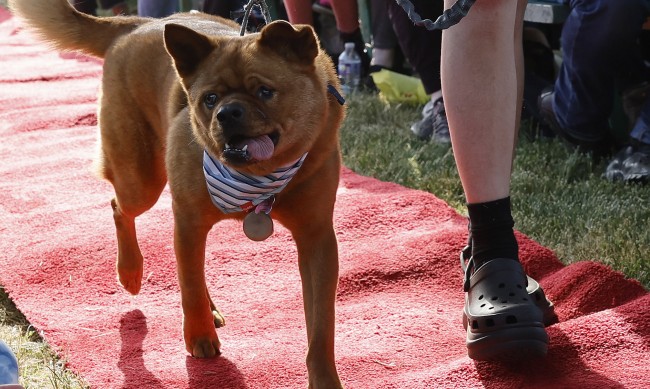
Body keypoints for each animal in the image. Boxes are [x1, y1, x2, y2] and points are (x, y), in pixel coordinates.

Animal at [8, 1, 344, 386]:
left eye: (264, 91)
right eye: (210, 99)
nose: (227, 112)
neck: (260, 179)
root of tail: (135, 24)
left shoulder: (317, 240)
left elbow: (320, 328)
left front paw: (325, 379)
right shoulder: (188, 221)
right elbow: (190, 287)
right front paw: (199, 336)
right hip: (140, 182)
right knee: (119, 207)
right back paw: (130, 270)